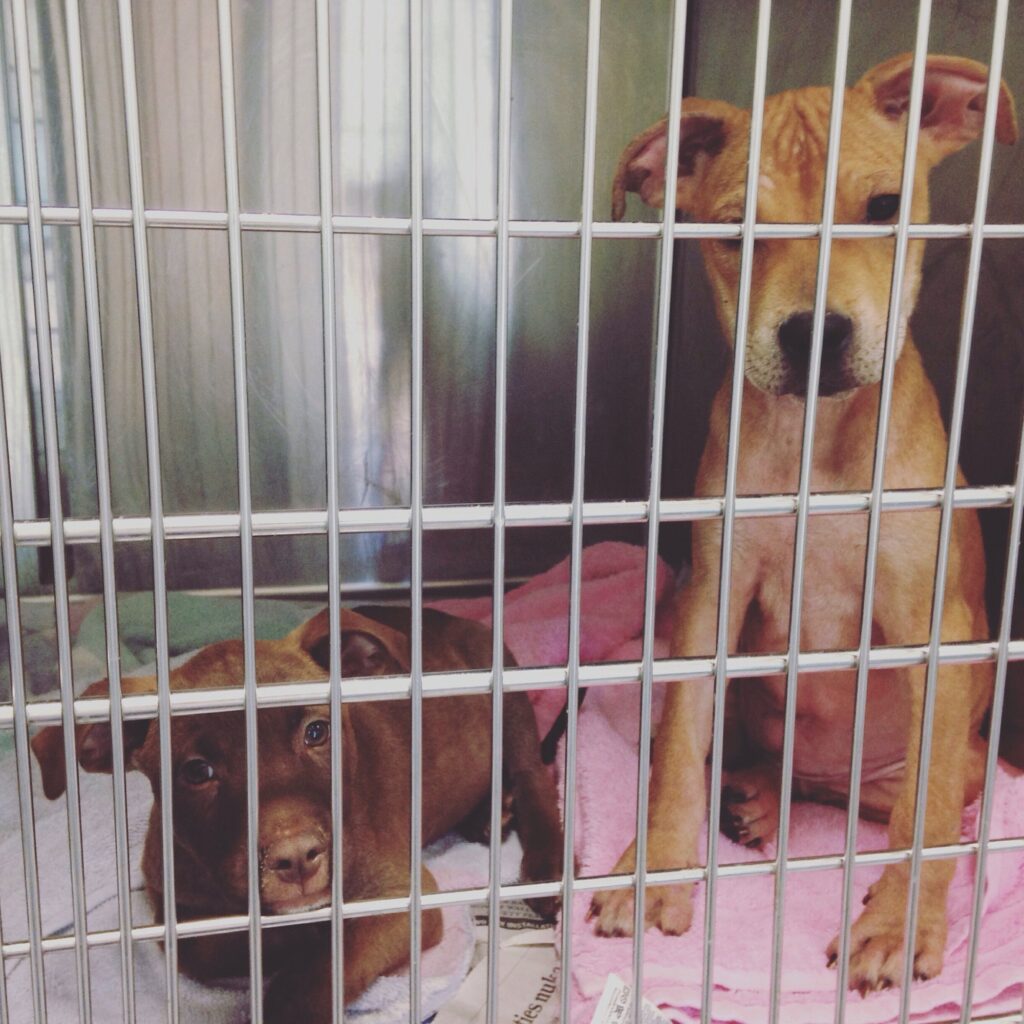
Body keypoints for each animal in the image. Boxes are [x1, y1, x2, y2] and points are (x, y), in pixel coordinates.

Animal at [32, 602, 565, 1019]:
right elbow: (220, 948)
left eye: (316, 732)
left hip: (510, 697)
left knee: (534, 774)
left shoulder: (396, 900)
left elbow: (318, 973)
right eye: (198, 771)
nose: (294, 859)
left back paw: (546, 863)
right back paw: (488, 814)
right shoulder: (176, 914)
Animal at [589, 51, 1019, 995]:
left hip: (967, 756)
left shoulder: (932, 631)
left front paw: (896, 926)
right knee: (749, 758)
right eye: (736, 232)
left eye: (886, 208)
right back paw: (752, 797)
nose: (813, 333)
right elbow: (678, 753)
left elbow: (926, 820)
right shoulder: (709, 603)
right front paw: (656, 873)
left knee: (891, 801)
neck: (815, 443)